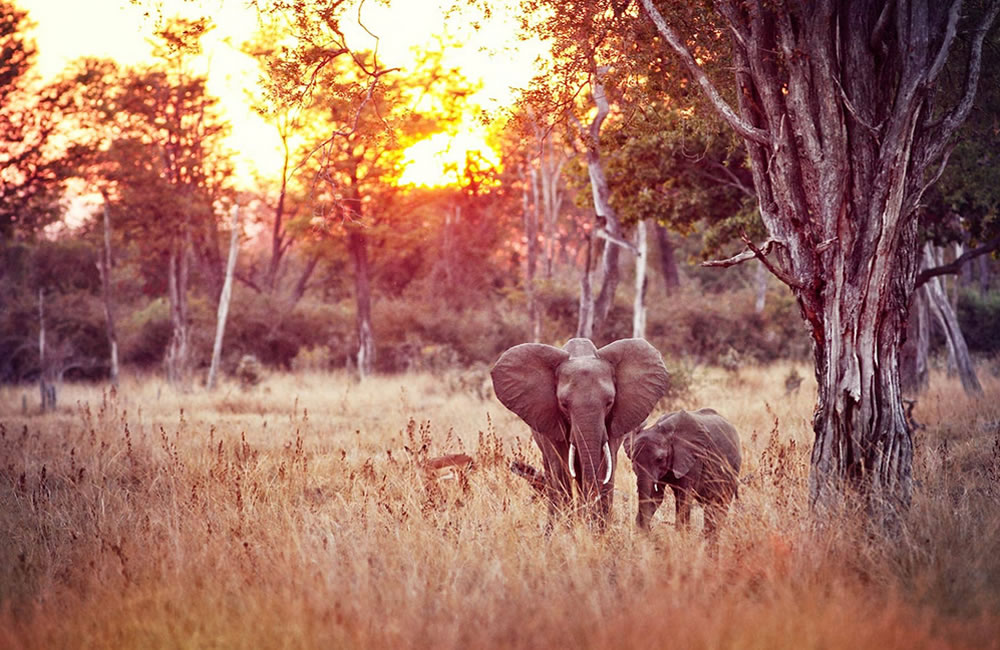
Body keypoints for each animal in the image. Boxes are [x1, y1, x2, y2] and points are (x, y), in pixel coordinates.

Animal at [488, 336, 668, 524]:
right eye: (564, 404)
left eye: (609, 402)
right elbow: (560, 468)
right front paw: (566, 527)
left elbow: (607, 465)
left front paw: (597, 527)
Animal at [624, 408, 744, 536]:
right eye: (633, 460)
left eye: (660, 459)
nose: (649, 530)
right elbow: (656, 496)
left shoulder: (694, 457)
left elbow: (684, 496)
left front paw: (681, 535)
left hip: (732, 468)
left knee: (719, 503)